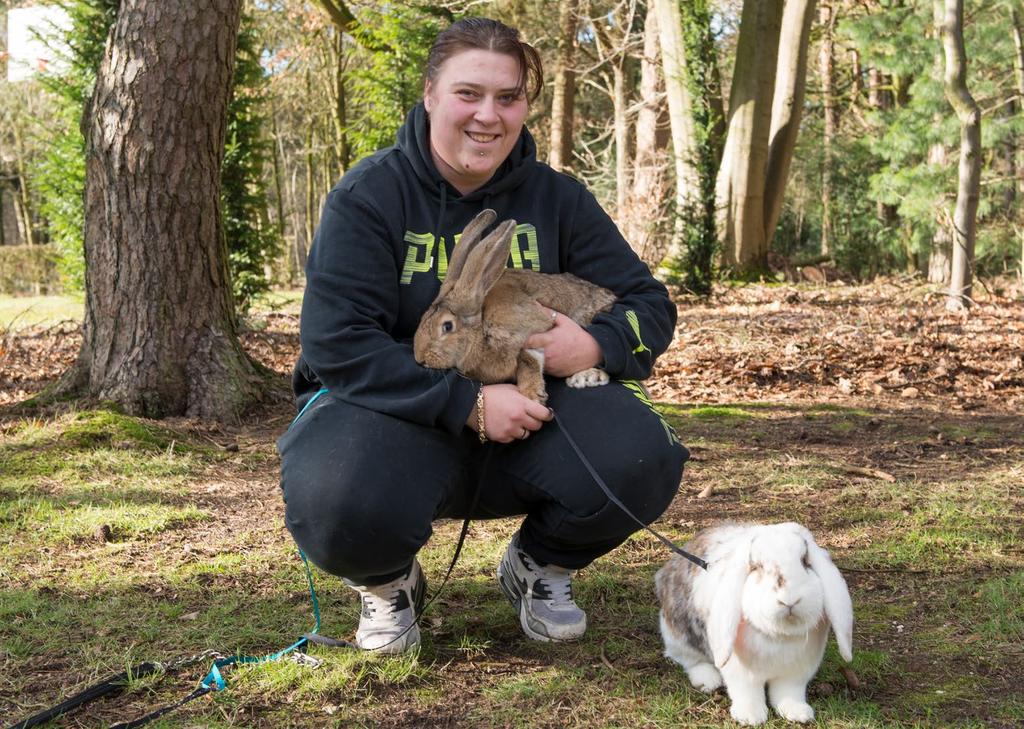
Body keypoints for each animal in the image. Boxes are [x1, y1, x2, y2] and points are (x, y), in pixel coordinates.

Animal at [409, 207, 614, 403]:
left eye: (447, 326)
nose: (419, 358)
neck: (481, 330)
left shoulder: (534, 330)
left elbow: (528, 358)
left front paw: (533, 394)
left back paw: (587, 377)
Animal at [655, 520, 856, 724]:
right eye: (757, 566)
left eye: (805, 561)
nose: (789, 600)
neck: (780, 635)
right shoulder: (742, 675)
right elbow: (747, 693)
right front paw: (750, 717)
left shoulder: (795, 674)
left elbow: (789, 693)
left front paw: (797, 712)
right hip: (677, 635)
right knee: (689, 660)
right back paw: (708, 680)